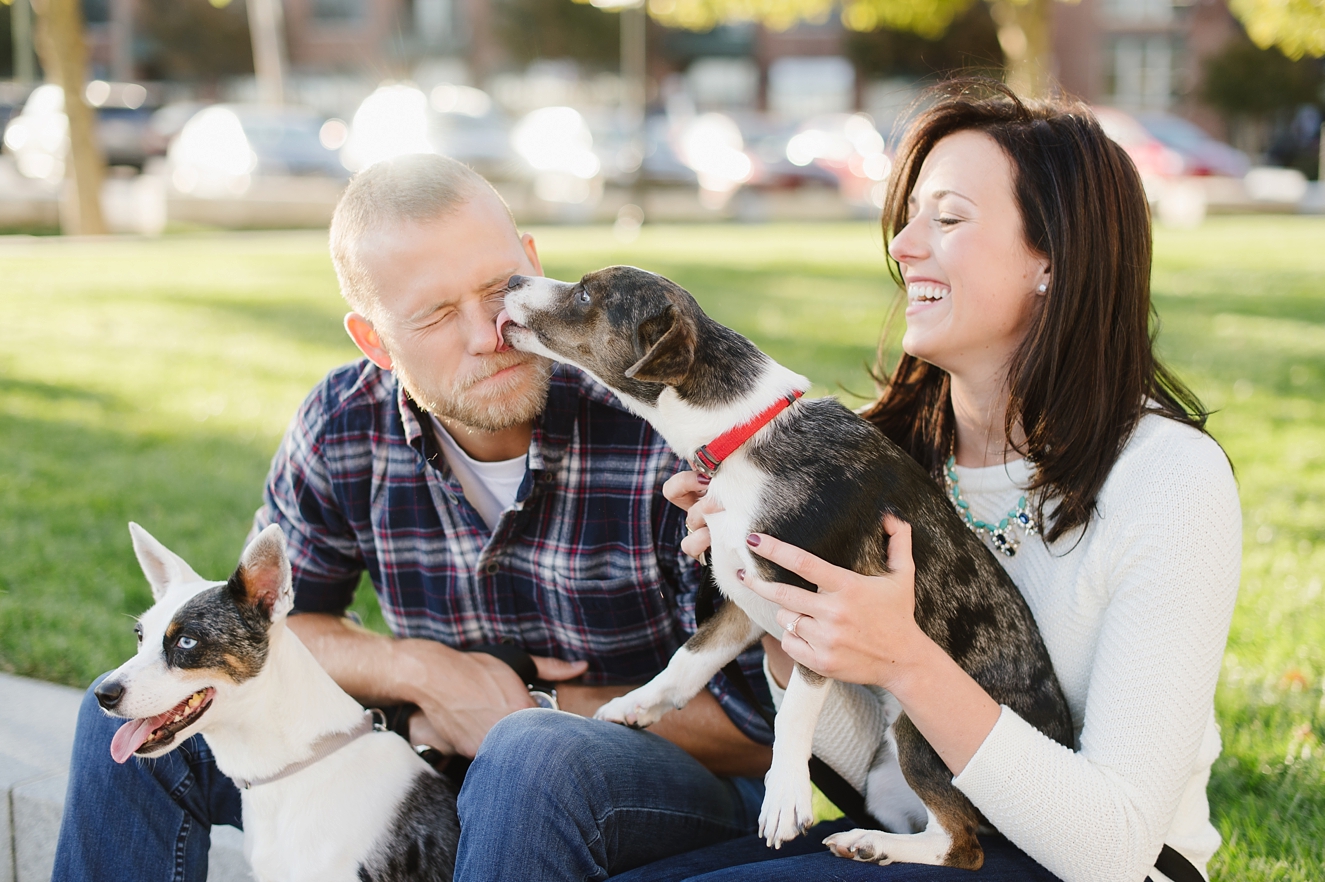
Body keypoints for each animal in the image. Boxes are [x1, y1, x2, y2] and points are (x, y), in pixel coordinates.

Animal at [498, 264, 1075, 868]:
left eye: (587, 293)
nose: (511, 279)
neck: (740, 435)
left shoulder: (819, 606)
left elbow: (795, 707)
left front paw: (784, 796)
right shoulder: (740, 594)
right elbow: (690, 658)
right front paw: (638, 704)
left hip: (920, 736)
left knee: (962, 844)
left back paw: (872, 844)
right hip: (884, 779)